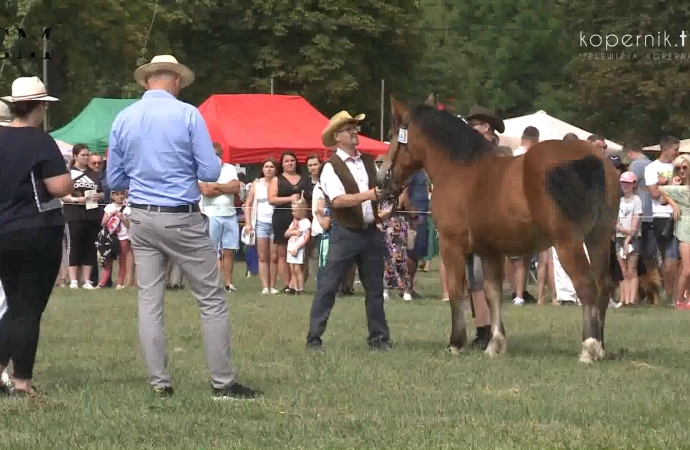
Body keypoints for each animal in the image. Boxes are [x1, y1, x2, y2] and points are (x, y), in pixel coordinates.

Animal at [376, 96, 620, 364]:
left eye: (392, 134)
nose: (381, 177)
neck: (459, 168)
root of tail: (592, 159)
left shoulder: (452, 246)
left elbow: (456, 290)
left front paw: (455, 343)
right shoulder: (490, 251)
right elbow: (492, 294)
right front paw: (494, 344)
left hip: (568, 243)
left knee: (586, 284)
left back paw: (589, 347)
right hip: (598, 238)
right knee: (603, 286)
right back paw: (601, 346)